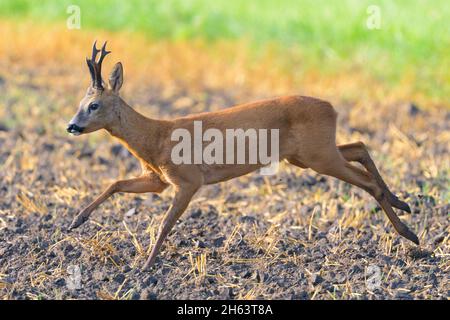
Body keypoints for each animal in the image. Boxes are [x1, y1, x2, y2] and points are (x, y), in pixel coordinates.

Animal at [67, 40, 418, 270]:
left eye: (93, 105)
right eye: (79, 104)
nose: (72, 126)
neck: (156, 138)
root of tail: (331, 107)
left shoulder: (188, 179)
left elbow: (165, 223)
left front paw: (146, 266)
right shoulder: (158, 180)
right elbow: (115, 184)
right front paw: (76, 220)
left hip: (318, 155)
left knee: (365, 179)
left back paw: (409, 232)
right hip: (307, 154)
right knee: (359, 147)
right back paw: (402, 204)